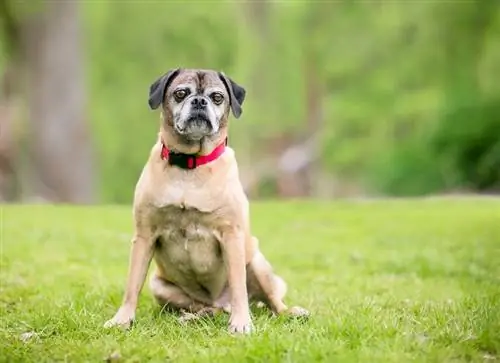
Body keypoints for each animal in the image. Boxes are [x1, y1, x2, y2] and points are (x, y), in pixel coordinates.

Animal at [103, 68, 308, 336]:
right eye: (180, 93)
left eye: (217, 97)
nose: (200, 101)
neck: (190, 165)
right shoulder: (144, 236)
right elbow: (131, 286)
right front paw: (122, 320)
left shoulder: (231, 236)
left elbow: (239, 288)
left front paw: (241, 323)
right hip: (160, 286)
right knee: (205, 308)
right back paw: (194, 316)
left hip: (257, 263)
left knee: (271, 301)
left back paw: (291, 312)